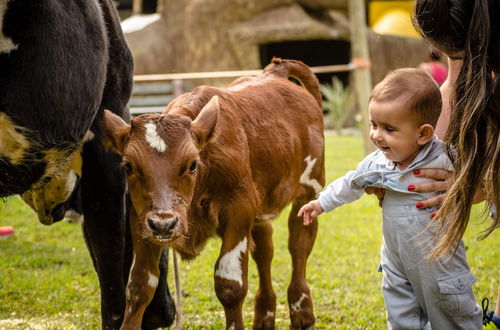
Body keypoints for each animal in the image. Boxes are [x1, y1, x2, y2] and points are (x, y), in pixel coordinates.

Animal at [103, 58, 326, 328]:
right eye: (128, 166)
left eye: (192, 164)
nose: (164, 223)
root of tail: (276, 72)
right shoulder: (141, 220)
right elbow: (139, 285)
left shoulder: (239, 210)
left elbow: (229, 285)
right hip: (260, 209)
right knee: (265, 251)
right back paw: (265, 314)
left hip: (309, 190)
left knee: (298, 246)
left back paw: (301, 310)